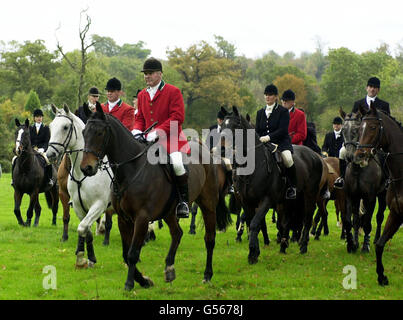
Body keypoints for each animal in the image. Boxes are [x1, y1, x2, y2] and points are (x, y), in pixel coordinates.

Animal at [46, 104, 114, 268]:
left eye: (65, 127)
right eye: (51, 126)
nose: (50, 154)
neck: (82, 173)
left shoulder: (98, 205)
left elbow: (83, 227)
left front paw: (82, 258)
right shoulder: (77, 205)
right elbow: (85, 230)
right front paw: (87, 257)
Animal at [80, 104, 232, 292]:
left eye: (100, 133)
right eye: (84, 132)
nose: (86, 168)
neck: (131, 170)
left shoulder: (142, 218)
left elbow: (132, 253)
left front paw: (130, 284)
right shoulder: (123, 219)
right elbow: (126, 253)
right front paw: (144, 280)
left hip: (208, 204)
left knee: (209, 239)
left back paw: (207, 275)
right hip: (169, 212)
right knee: (177, 233)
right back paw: (169, 269)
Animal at [219, 107, 326, 262]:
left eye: (236, 126)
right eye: (221, 126)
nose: (221, 149)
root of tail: (314, 155)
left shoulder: (266, 199)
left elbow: (255, 223)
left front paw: (253, 253)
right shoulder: (246, 201)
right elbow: (252, 222)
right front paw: (254, 251)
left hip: (310, 195)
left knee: (307, 217)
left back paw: (303, 246)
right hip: (289, 200)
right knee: (287, 221)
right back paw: (283, 246)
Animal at [340, 109, 388, 254]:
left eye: (356, 130)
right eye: (343, 130)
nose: (350, 157)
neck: (358, 170)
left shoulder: (370, 197)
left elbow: (367, 222)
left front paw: (365, 246)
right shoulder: (352, 196)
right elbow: (352, 221)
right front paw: (352, 243)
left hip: (382, 195)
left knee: (379, 217)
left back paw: (376, 239)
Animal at [356, 104, 403, 286]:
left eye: (373, 127)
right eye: (359, 128)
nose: (359, 156)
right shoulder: (396, 213)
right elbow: (380, 244)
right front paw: (382, 276)